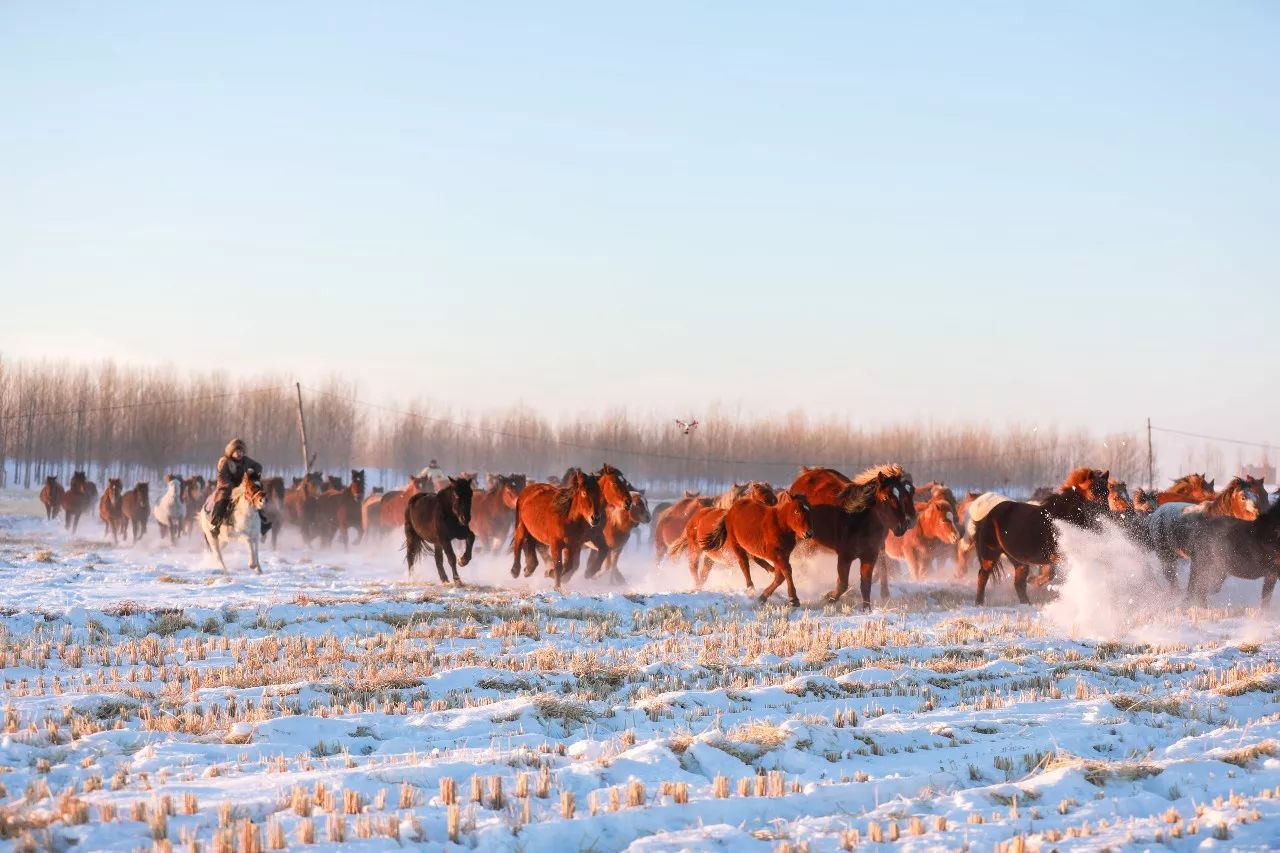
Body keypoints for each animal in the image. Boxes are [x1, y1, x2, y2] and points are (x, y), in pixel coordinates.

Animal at [783, 461, 916, 607]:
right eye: (885, 497)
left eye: (905, 495)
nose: (904, 525)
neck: (858, 519)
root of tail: (806, 473)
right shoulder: (845, 557)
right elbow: (842, 584)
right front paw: (828, 598)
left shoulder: (870, 556)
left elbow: (866, 584)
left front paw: (867, 608)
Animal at [967, 468, 1111, 601]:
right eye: (1092, 491)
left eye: (1107, 492)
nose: (1107, 515)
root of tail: (987, 515)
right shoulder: (1056, 555)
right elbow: (1051, 573)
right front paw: (1034, 581)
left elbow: (1049, 574)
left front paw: (1034, 581)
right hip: (990, 556)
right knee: (982, 576)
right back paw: (979, 603)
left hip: (1019, 561)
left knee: (1018, 584)